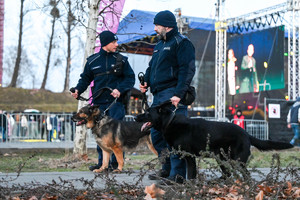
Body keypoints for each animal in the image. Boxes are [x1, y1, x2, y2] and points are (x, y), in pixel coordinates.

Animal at [135, 101, 292, 180]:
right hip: (221, 158)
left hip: (236, 160)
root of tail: (246, 133)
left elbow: (190, 174)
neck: (169, 122)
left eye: (147, 112)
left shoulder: (189, 157)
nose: (136, 117)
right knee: (227, 174)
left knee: (245, 174)